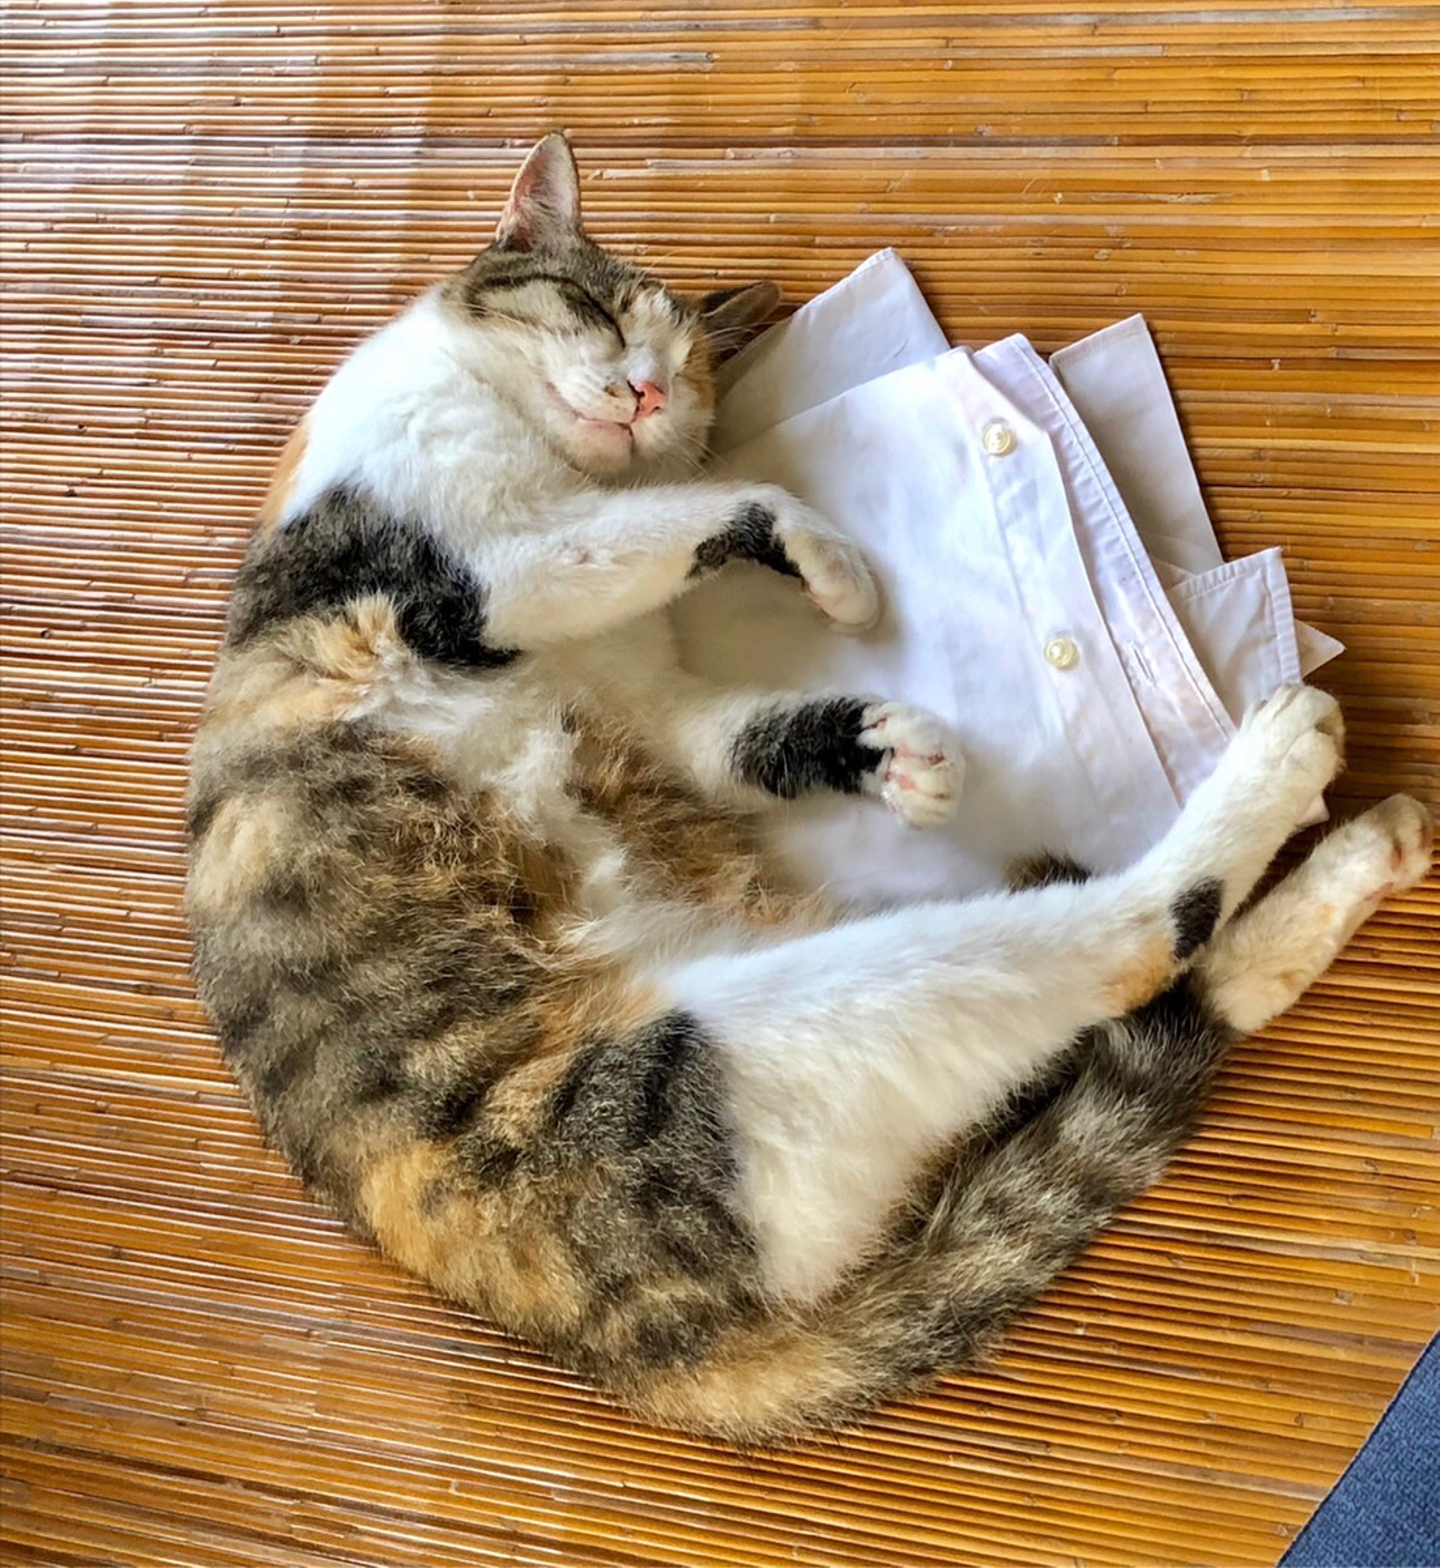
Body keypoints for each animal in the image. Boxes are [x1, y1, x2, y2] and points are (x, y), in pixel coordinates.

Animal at [187, 133, 1434, 1445]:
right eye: (602, 311)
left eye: (690, 375)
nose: (645, 392)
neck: (542, 453)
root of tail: (677, 1362)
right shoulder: (478, 570)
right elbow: (709, 508)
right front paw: (835, 565)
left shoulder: (647, 705)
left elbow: (742, 727)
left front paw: (897, 749)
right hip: (792, 1030)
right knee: (1142, 938)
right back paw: (1284, 765)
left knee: (1165, 1010)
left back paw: (1367, 852)